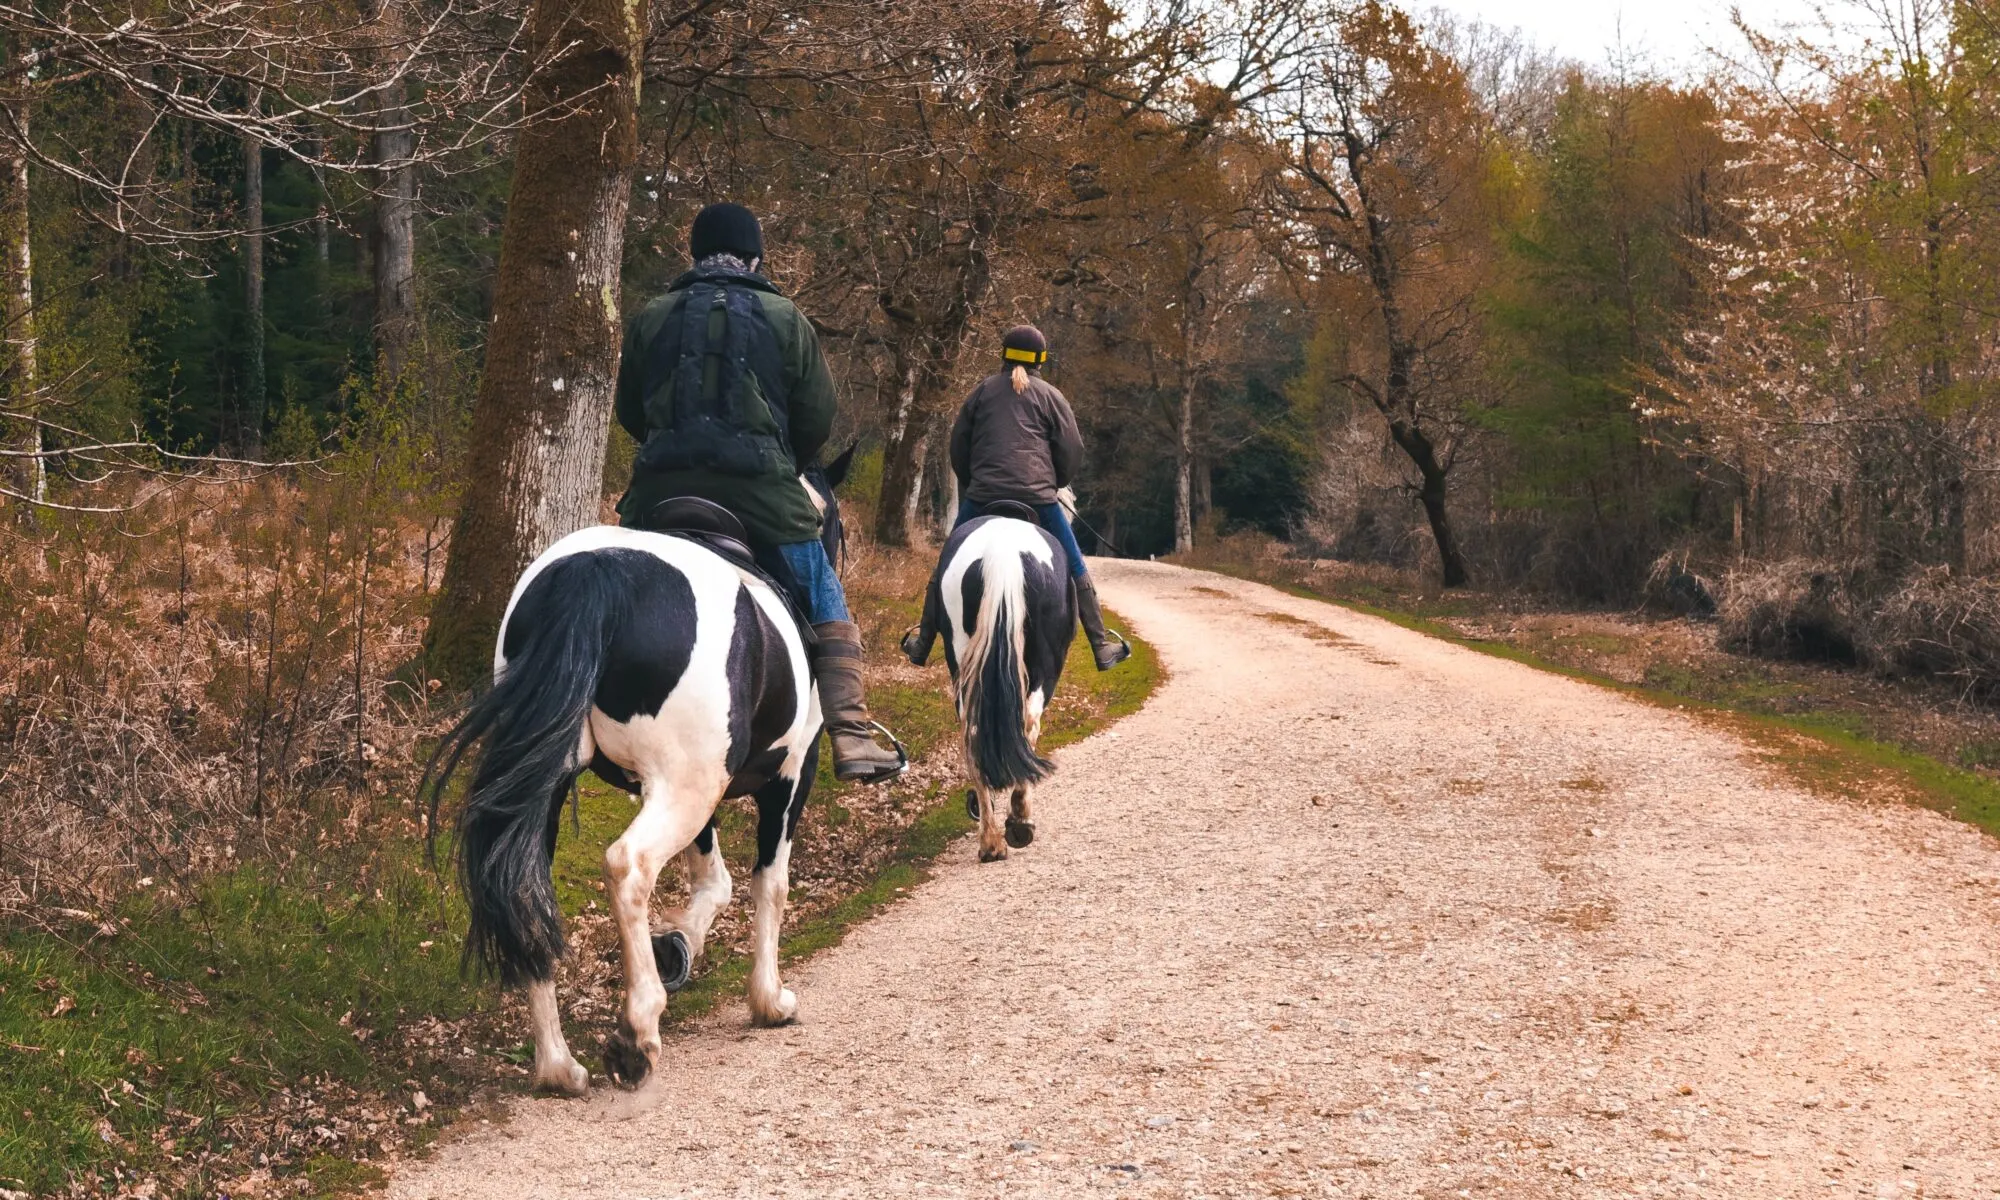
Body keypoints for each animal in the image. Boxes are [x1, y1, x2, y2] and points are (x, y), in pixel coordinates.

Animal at [430, 448, 852, 1088]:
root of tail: (596, 572)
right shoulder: (788, 778)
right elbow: (769, 885)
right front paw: (768, 999)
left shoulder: (702, 790)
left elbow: (715, 881)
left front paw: (676, 945)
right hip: (684, 788)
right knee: (629, 867)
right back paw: (637, 1031)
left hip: (562, 786)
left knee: (526, 886)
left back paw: (557, 1065)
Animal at [924, 506, 1080, 864]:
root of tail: (1002, 554)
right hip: (1044, 666)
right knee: (1029, 723)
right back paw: (1018, 822)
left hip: (963, 660)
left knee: (972, 731)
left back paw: (990, 840)